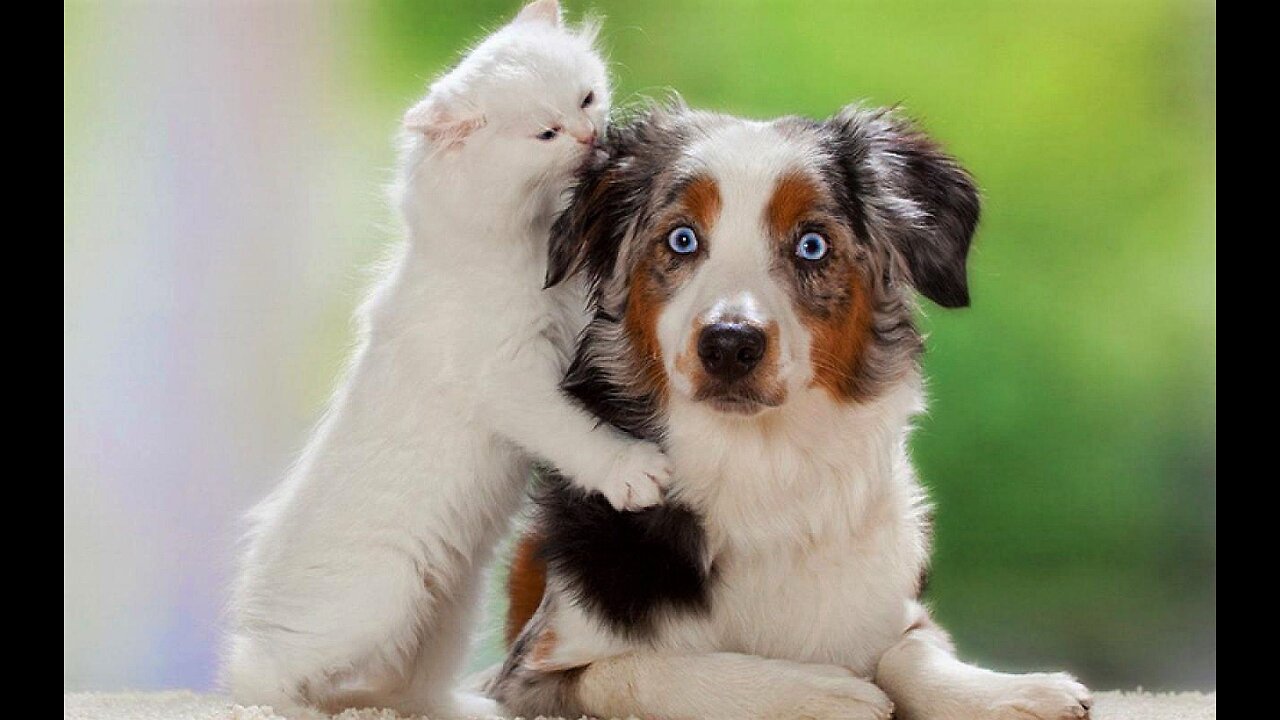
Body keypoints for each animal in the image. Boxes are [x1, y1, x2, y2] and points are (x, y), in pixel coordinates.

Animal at [226, 2, 670, 712]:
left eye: (587, 98)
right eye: (546, 133)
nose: (591, 138)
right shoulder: (510, 380)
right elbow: (577, 435)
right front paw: (635, 473)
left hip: (451, 607)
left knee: (407, 686)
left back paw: (469, 708)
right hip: (375, 600)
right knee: (262, 666)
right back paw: (287, 705)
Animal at [486, 102, 1090, 717]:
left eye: (812, 245)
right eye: (682, 239)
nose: (730, 343)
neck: (761, 468)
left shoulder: (895, 610)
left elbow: (908, 651)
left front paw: (1011, 692)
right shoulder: (525, 675)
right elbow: (641, 670)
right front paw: (816, 694)